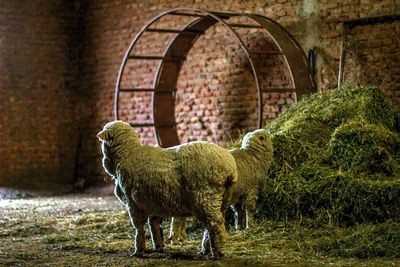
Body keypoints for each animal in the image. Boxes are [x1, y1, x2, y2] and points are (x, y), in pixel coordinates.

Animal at [97, 121, 238, 260]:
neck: (126, 154)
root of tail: (230, 167)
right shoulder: (152, 200)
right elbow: (154, 224)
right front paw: (158, 246)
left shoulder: (133, 203)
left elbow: (139, 228)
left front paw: (138, 250)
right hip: (223, 198)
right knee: (215, 223)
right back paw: (206, 249)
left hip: (205, 196)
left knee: (215, 223)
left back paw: (218, 253)